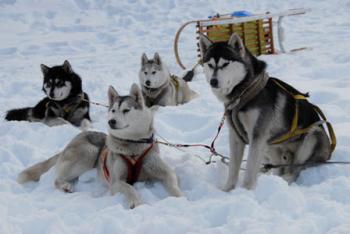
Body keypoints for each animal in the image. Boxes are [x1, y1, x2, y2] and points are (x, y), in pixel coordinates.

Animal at [17, 83, 182, 208]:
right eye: (113, 110)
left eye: (126, 110)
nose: (111, 121)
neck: (133, 144)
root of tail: (79, 135)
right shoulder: (116, 181)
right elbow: (129, 187)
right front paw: (136, 202)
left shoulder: (164, 170)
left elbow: (173, 182)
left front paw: (180, 198)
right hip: (88, 152)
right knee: (57, 179)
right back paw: (65, 186)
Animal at [198, 33, 332, 190]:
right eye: (210, 65)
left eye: (225, 64)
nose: (213, 81)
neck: (243, 93)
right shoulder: (236, 137)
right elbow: (233, 169)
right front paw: (228, 190)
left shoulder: (257, 136)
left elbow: (250, 171)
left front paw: (246, 191)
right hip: (269, 146)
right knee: (279, 166)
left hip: (313, 134)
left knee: (296, 169)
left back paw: (286, 180)